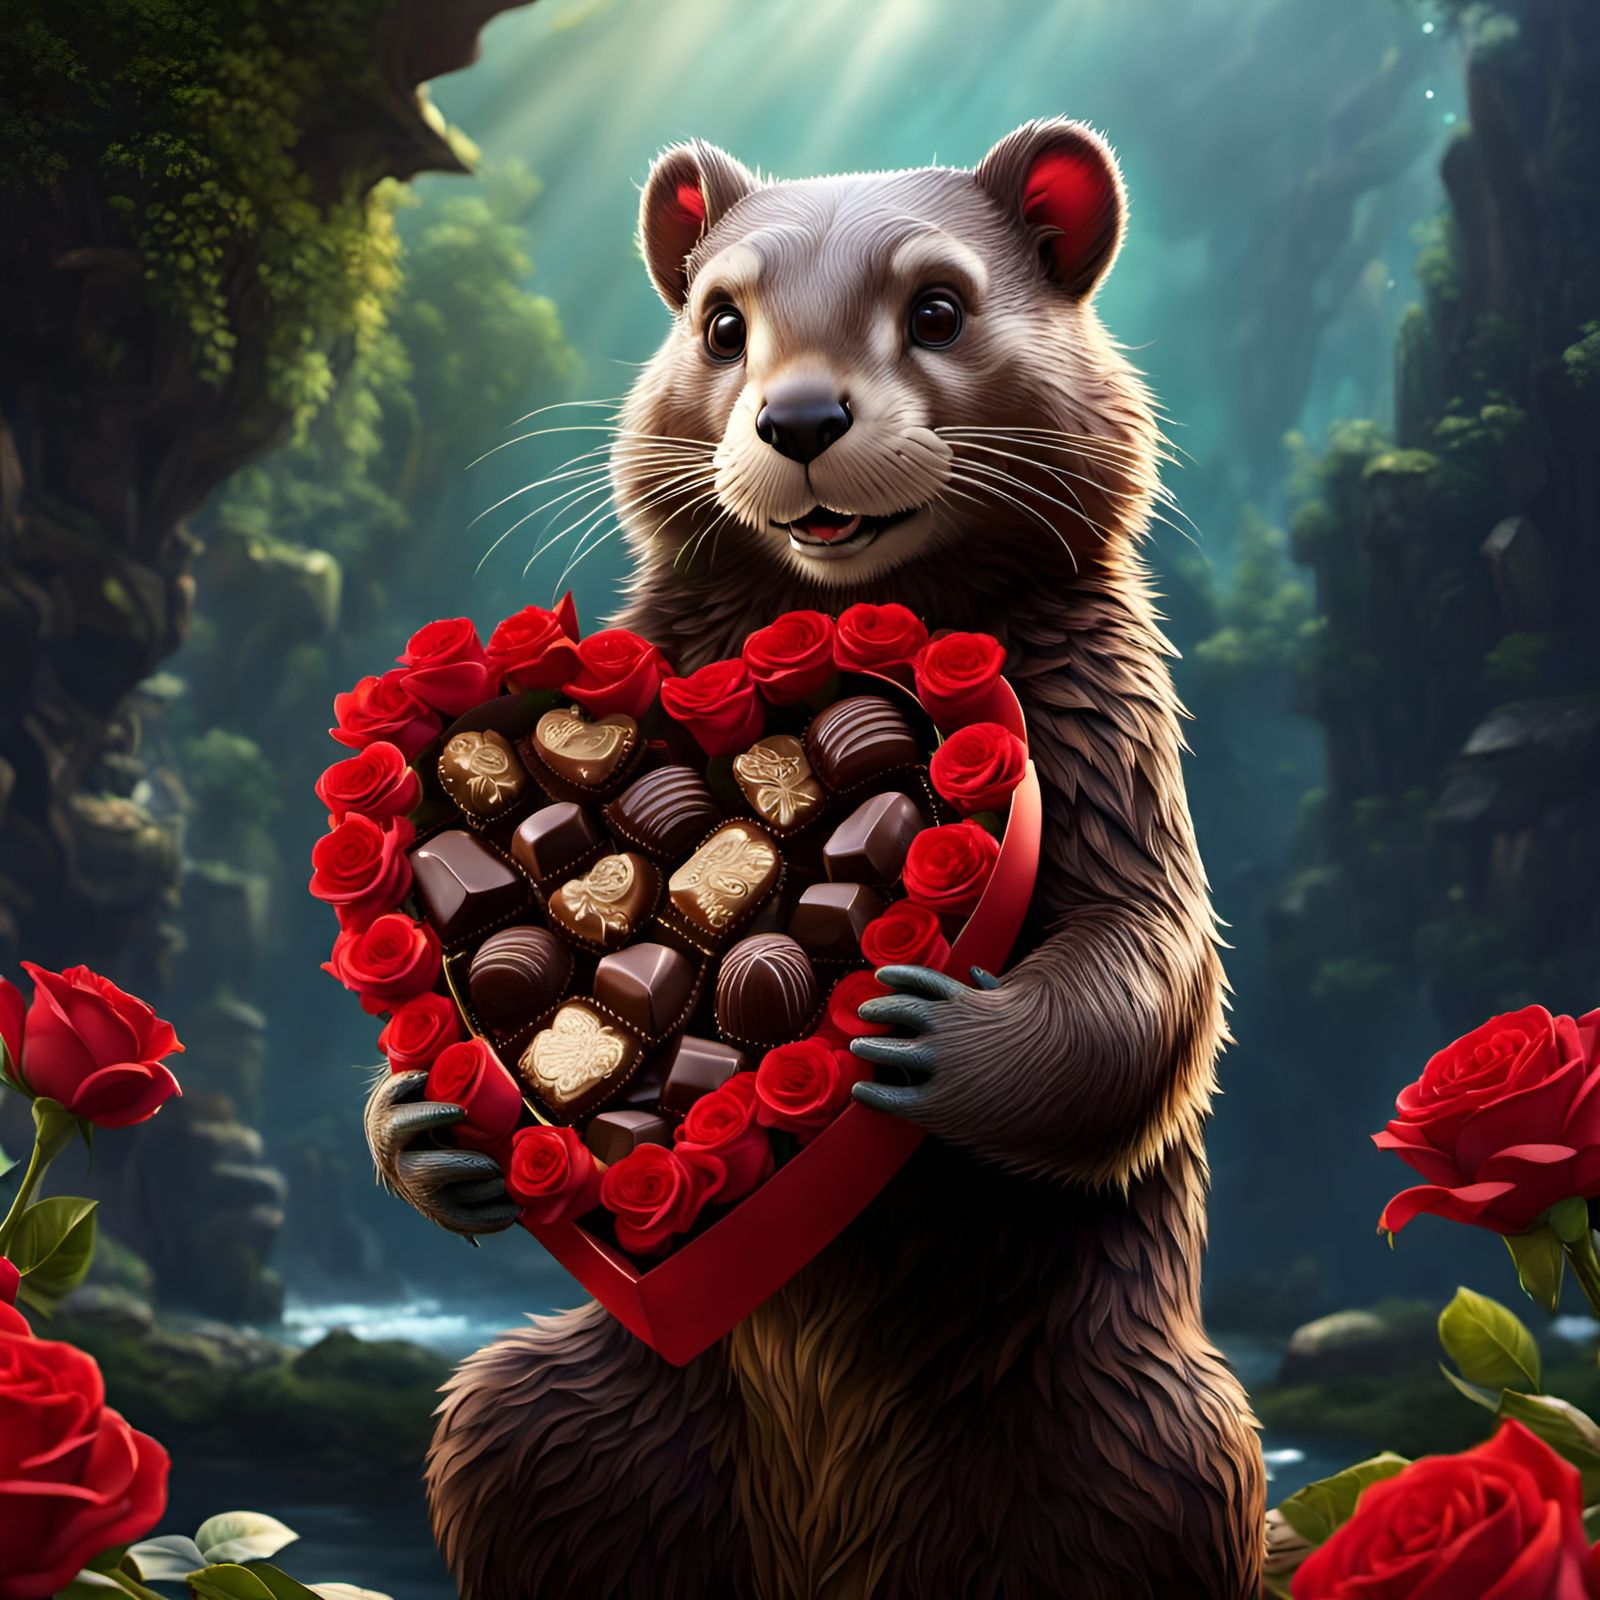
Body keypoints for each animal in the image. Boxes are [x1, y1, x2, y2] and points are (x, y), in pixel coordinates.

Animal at [365, 119, 1266, 1598]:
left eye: (940, 308)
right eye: (721, 323)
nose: (797, 424)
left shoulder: (1098, 727)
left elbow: (1146, 965)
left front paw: (925, 1036)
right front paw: (424, 1125)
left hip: (1123, 1440)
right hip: (583, 1420)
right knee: (515, 1454)